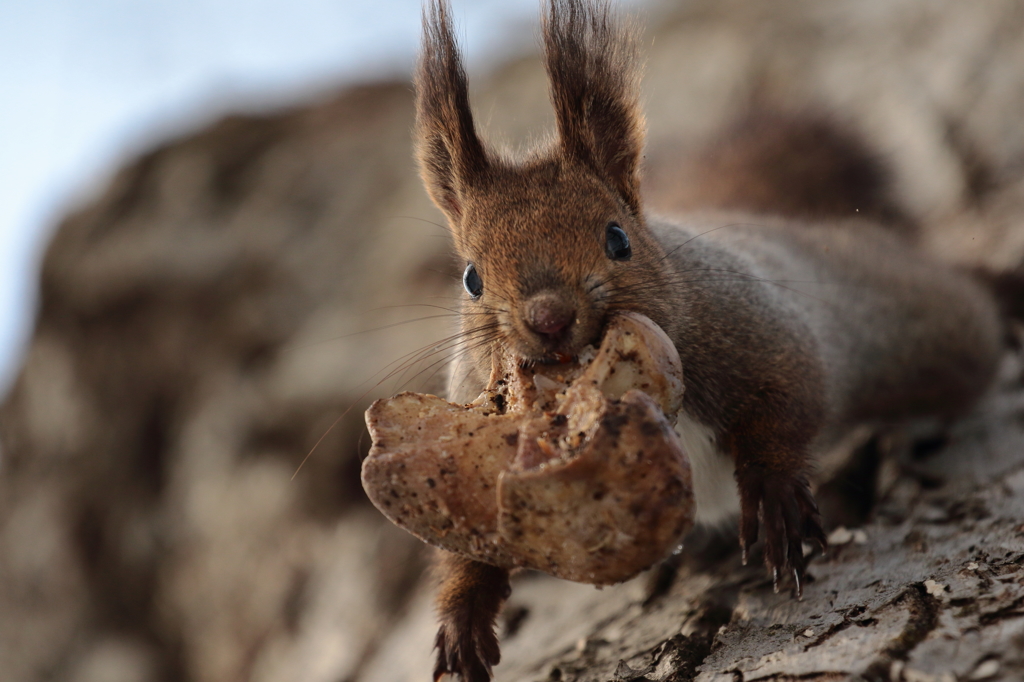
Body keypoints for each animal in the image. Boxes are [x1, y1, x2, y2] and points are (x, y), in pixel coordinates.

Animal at [409, 1, 999, 679]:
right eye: (471, 277)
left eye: (617, 238)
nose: (549, 317)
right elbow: (468, 541)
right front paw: (464, 617)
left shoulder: (759, 328)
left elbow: (790, 396)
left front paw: (773, 494)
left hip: (924, 328)